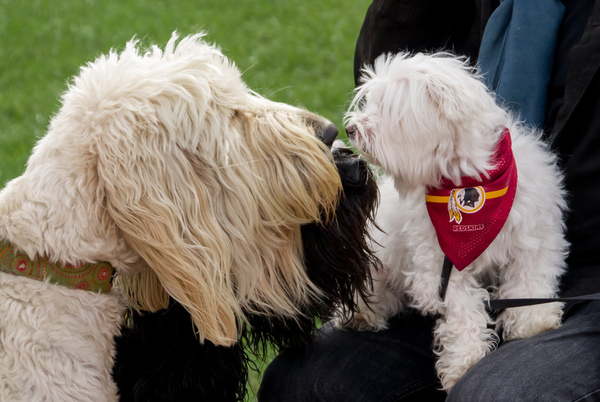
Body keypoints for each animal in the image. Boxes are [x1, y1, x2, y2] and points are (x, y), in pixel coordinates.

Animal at [342, 51, 568, 392]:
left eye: (387, 109)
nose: (351, 128)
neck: (465, 181)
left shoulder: (533, 237)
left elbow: (529, 281)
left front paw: (533, 323)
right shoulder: (440, 268)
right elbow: (463, 313)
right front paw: (465, 361)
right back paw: (362, 315)